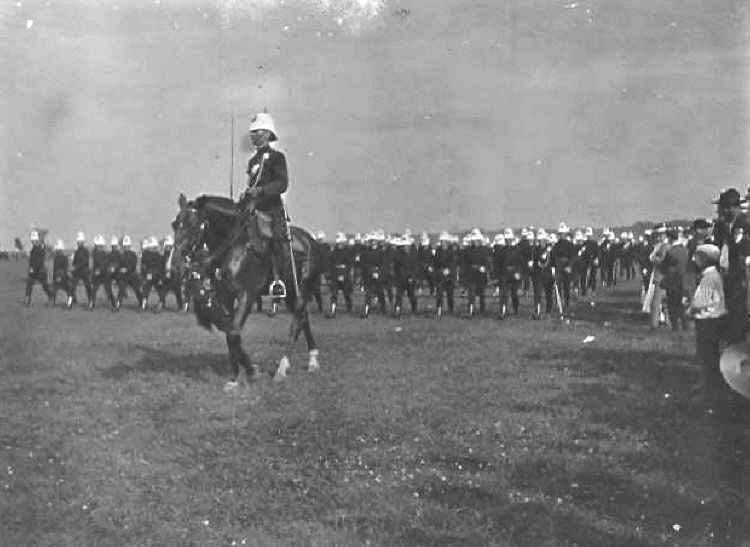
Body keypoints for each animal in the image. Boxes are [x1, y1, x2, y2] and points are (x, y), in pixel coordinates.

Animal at [171, 193, 325, 389]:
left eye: (193, 224)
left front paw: (236, 378)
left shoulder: (246, 296)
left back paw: (282, 368)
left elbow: (232, 333)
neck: (235, 245)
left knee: (297, 323)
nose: (175, 264)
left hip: (301, 290)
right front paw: (249, 370)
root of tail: (311, 241)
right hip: (291, 293)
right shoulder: (226, 297)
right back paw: (312, 361)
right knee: (304, 319)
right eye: (175, 224)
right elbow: (230, 331)